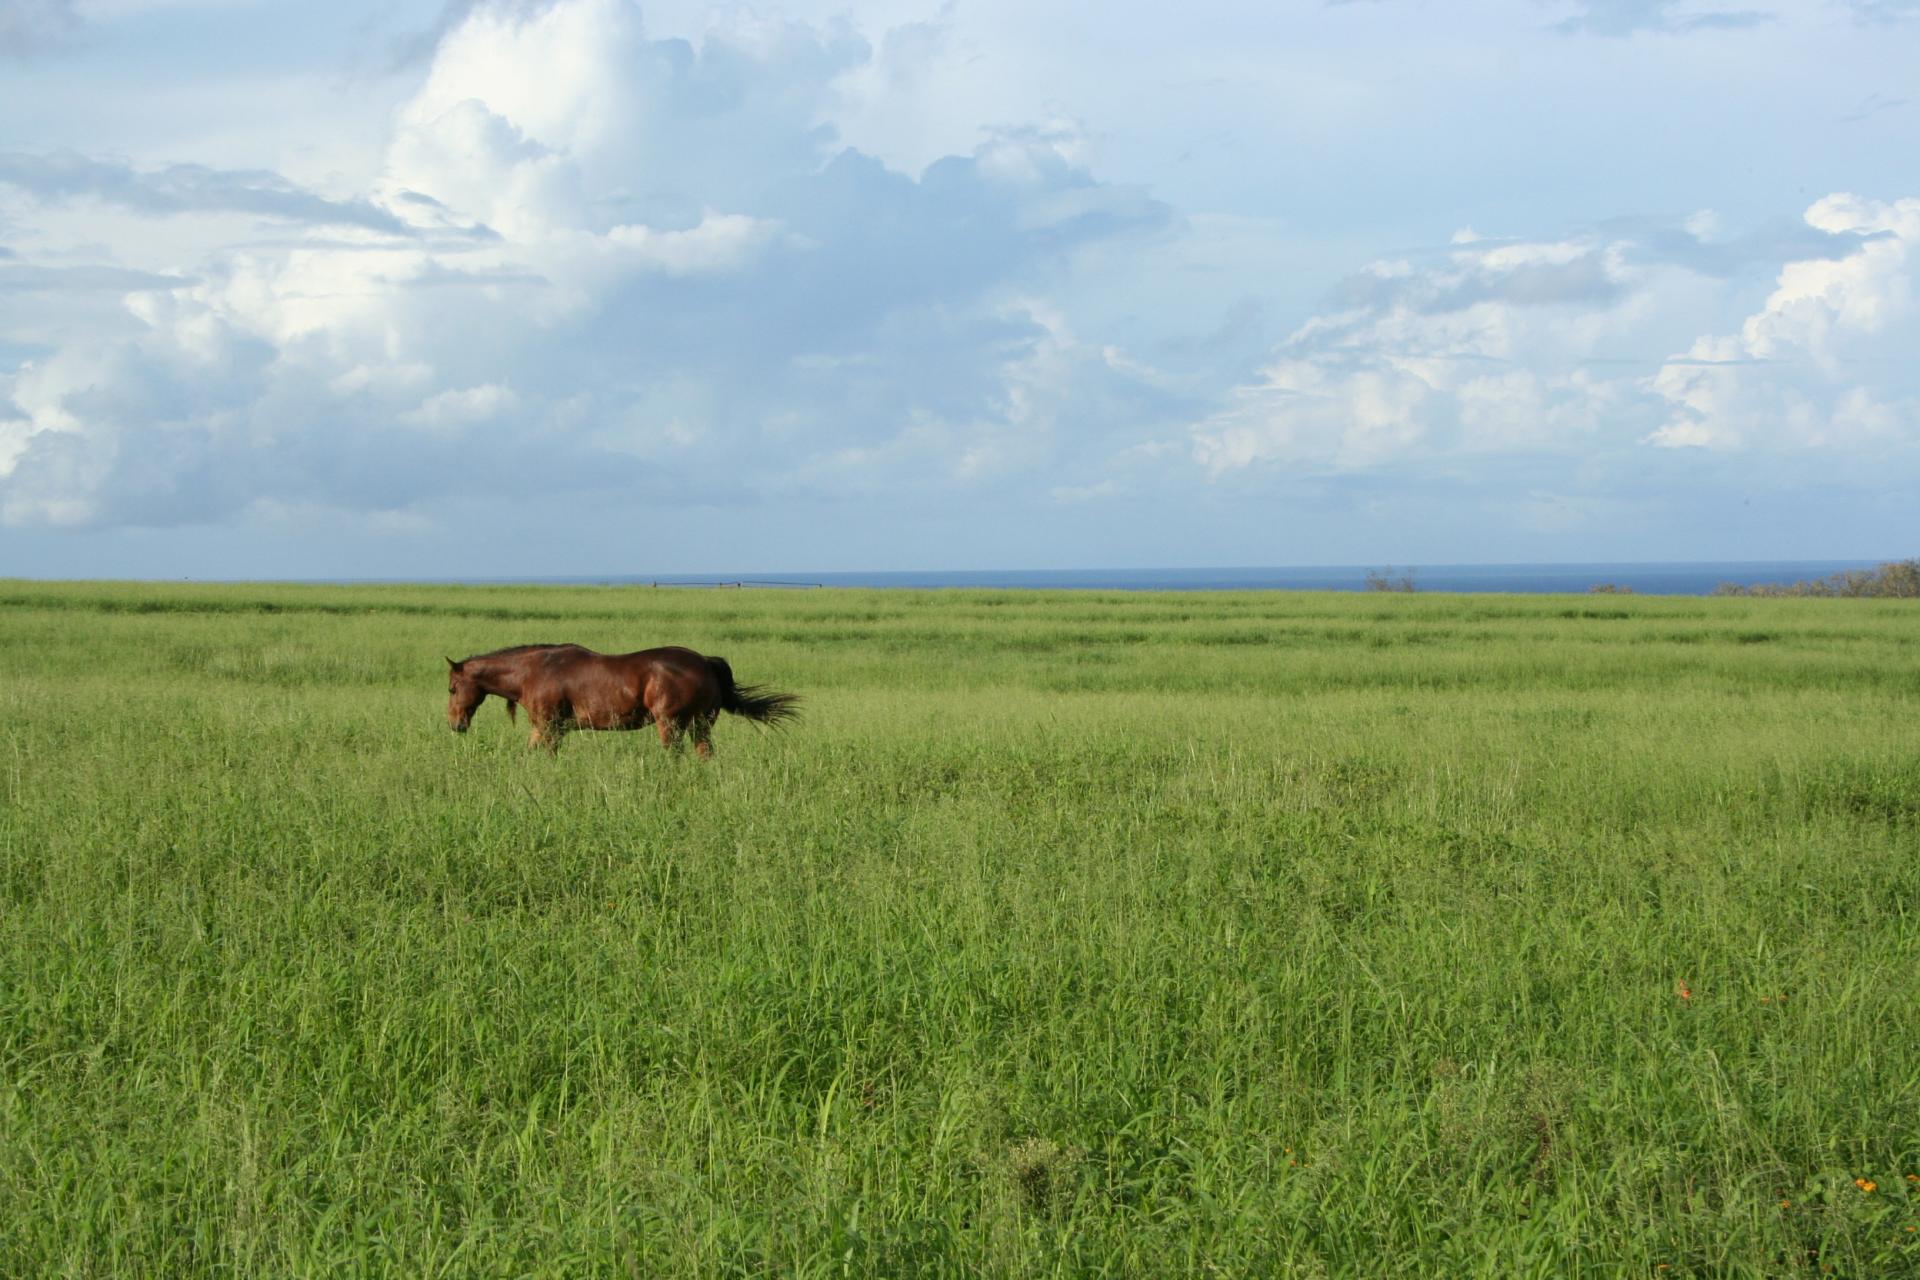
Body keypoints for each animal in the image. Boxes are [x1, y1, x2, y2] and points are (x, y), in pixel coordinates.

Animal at [446, 643, 799, 756]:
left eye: (451, 688)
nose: (455, 725)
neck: (535, 671)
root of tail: (703, 661)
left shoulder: (548, 727)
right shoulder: (547, 730)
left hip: (670, 724)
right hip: (701, 724)